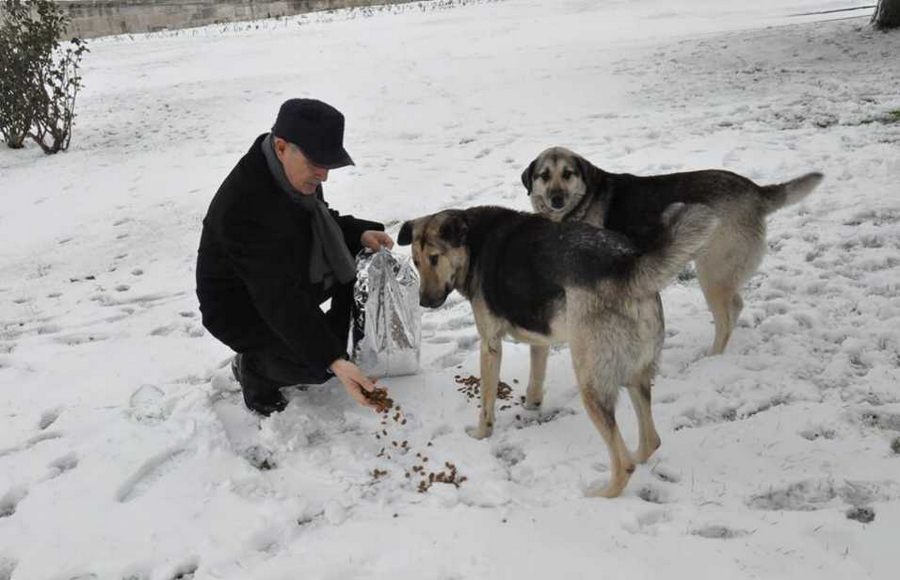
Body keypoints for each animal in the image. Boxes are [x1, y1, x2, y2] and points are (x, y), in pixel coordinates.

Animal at [400, 205, 716, 498]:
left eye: (434, 258)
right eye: (415, 261)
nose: (424, 302)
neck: (472, 241)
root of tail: (627, 265)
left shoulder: (490, 345)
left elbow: (487, 401)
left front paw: (480, 435)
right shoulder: (540, 340)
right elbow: (535, 381)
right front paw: (532, 407)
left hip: (591, 382)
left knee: (623, 463)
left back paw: (602, 494)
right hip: (634, 374)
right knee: (651, 440)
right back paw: (638, 458)